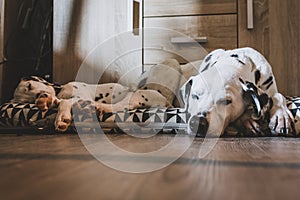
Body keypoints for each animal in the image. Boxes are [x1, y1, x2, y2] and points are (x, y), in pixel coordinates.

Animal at [11, 77, 170, 132]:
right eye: (27, 101)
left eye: (29, 85)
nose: (39, 96)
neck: (61, 91)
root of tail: (165, 101)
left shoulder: (80, 96)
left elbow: (64, 103)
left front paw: (61, 117)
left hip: (136, 94)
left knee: (119, 106)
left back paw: (97, 108)